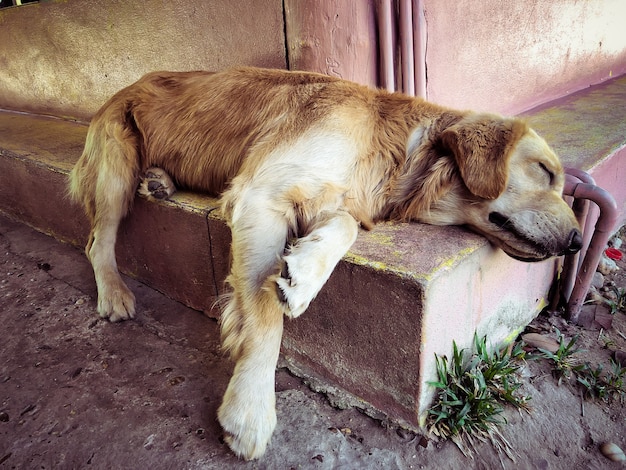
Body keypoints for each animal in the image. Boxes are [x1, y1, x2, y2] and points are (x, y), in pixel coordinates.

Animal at [69, 66, 580, 458]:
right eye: (545, 171)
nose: (577, 241)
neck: (399, 149)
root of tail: (129, 82)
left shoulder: (332, 197)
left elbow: (346, 226)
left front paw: (304, 271)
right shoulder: (262, 196)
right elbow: (266, 317)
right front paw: (250, 409)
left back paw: (160, 181)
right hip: (115, 166)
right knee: (97, 241)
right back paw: (114, 293)